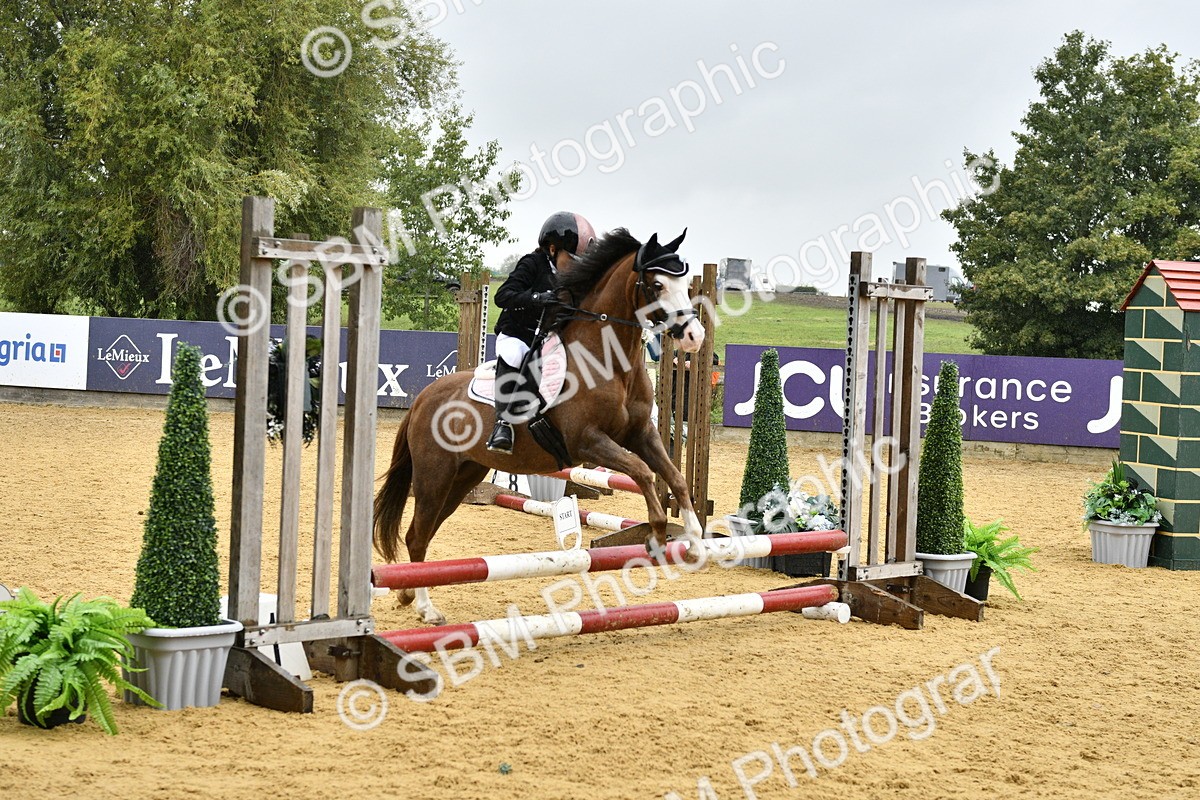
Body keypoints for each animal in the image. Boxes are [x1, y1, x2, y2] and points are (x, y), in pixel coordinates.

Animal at [373, 228, 706, 624]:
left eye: (685, 284)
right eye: (656, 285)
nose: (695, 336)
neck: (611, 362)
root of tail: (423, 398)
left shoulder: (641, 434)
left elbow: (676, 478)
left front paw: (695, 541)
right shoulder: (588, 442)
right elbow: (642, 472)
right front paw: (655, 535)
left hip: (462, 477)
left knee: (422, 534)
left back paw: (408, 592)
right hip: (433, 476)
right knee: (417, 535)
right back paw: (426, 608)